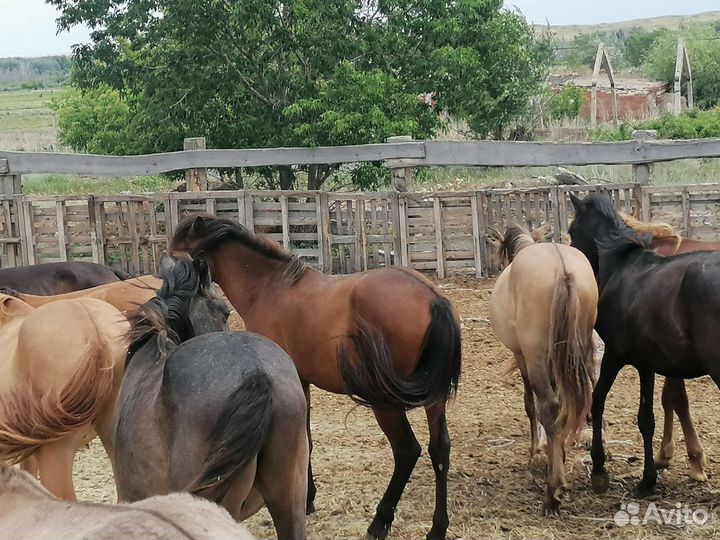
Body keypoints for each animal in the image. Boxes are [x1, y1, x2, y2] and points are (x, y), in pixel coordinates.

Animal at [170, 214, 461, 540]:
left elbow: (306, 439)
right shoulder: (303, 382)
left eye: (175, 257)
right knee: (439, 450)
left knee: (407, 450)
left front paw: (307, 498)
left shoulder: (296, 381)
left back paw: (380, 521)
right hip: (433, 400)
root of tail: (432, 297)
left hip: (385, 402)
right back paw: (437, 527)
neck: (269, 288)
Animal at [488, 225, 597, 514]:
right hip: (579, 350)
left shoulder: (523, 357)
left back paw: (552, 491)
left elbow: (530, 404)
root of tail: (563, 270)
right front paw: (556, 451)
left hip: (536, 357)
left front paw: (538, 452)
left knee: (548, 406)